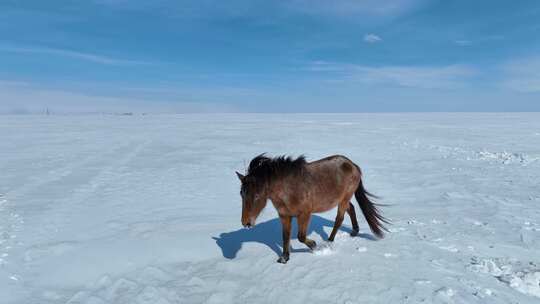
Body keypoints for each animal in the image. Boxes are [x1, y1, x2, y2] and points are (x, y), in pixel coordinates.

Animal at [237, 154, 388, 264]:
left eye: (257, 196)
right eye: (241, 194)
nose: (246, 223)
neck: (288, 189)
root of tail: (353, 165)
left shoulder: (304, 214)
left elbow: (301, 237)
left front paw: (315, 246)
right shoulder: (284, 216)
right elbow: (285, 236)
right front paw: (284, 258)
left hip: (344, 199)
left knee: (339, 218)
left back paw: (329, 241)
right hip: (342, 199)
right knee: (351, 209)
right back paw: (354, 231)